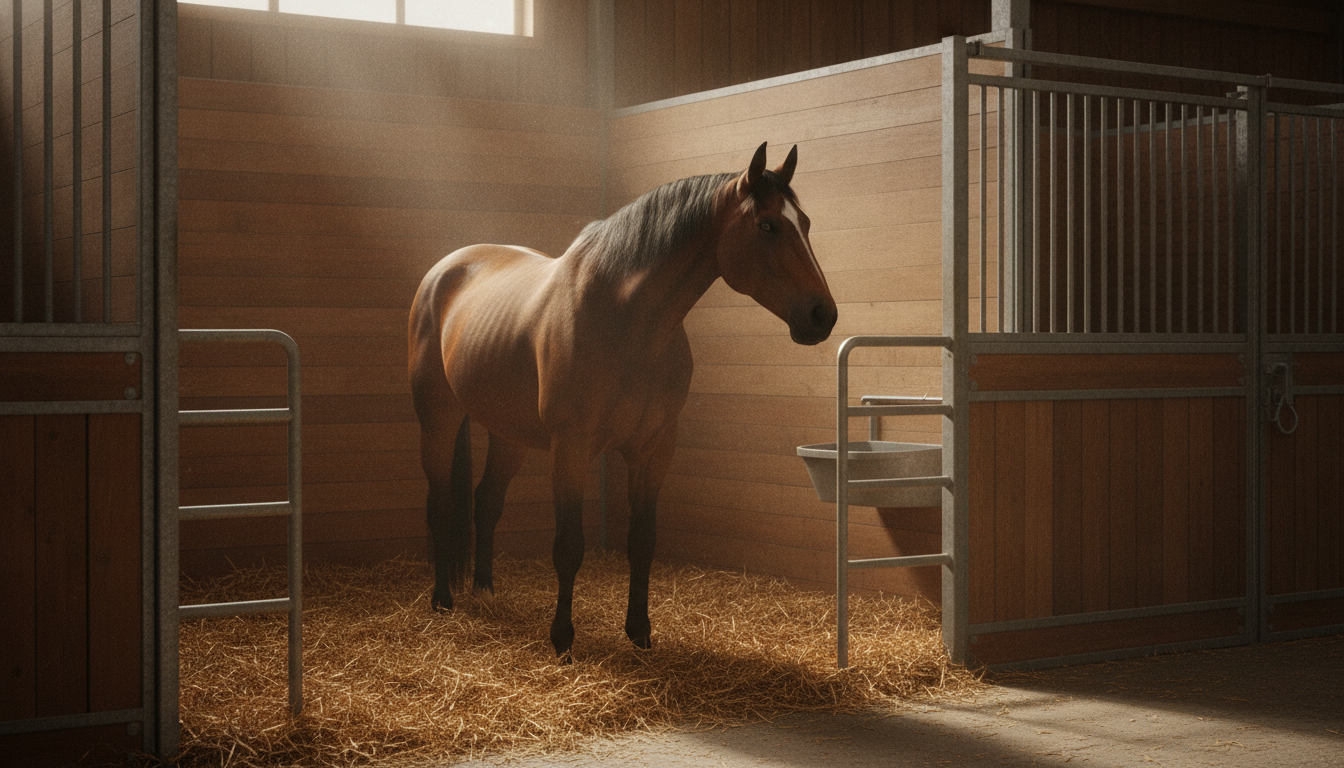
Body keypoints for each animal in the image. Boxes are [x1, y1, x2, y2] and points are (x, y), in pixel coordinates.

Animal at [407, 142, 837, 659]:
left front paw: (640, 630)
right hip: (438, 418)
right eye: (768, 225)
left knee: (486, 502)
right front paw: (562, 639)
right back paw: (443, 599)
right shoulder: (570, 449)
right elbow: (568, 546)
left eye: (806, 223)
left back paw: (485, 592)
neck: (625, 320)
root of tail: (445, 269)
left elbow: (642, 541)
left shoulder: (653, 448)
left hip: (508, 433)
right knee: (440, 504)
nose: (822, 315)